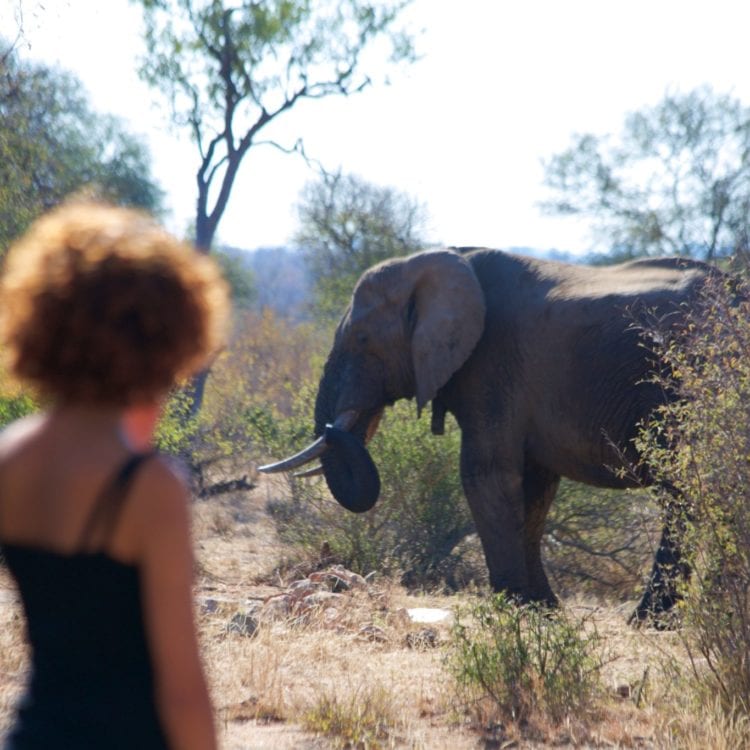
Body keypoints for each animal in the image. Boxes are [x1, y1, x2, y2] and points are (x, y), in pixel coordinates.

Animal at [262, 247, 728, 624]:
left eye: (361, 339)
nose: (330, 427)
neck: (445, 259)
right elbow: (534, 489)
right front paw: (543, 611)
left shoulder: (492, 364)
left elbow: (485, 473)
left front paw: (514, 607)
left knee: (682, 491)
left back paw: (650, 621)